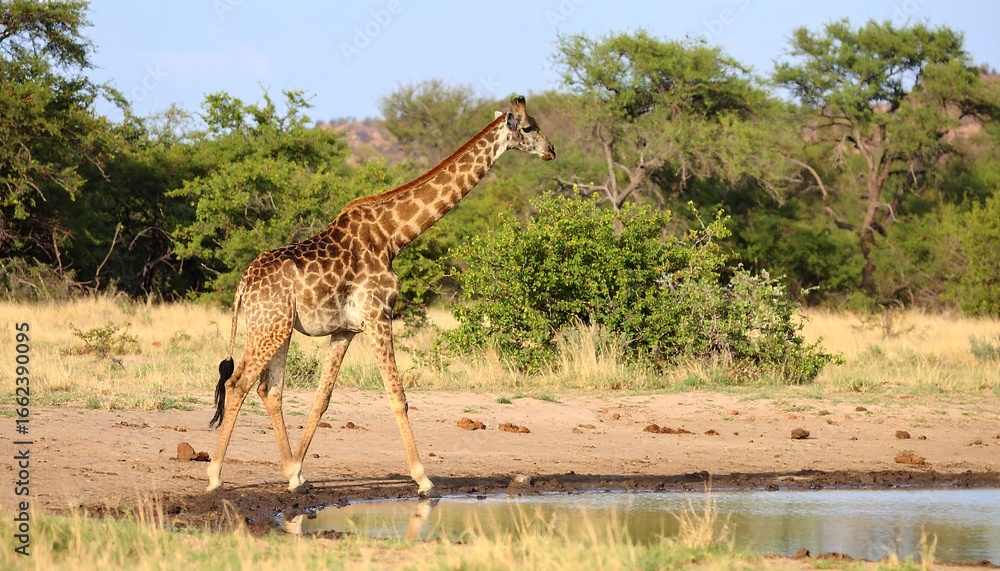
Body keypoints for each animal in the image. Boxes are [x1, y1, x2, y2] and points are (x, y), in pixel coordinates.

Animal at [205, 95, 555, 497]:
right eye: (528, 127)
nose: (551, 150)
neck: (393, 235)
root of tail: (243, 284)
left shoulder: (345, 329)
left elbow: (321, 399)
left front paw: (298, 471)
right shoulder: (378, 315)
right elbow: (397, 397)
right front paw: (423, 478)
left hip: (278, 328)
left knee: (269, 389)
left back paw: (288, 477)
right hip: (269, 328)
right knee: (237, 384)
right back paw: (214, 476)